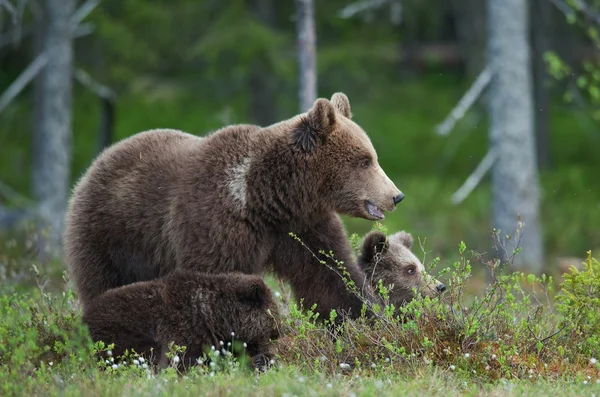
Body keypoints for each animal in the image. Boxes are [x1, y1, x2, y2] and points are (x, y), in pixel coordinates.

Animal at [64, 93, 404, 318]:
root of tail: (96, 162)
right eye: (364, 161)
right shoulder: (218, 223)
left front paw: (366, 319)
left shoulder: (302, 225)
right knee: (102, 284)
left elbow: (330, 273)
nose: (396, 195)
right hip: (110, 236)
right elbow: (217, 281)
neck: (268, 197)